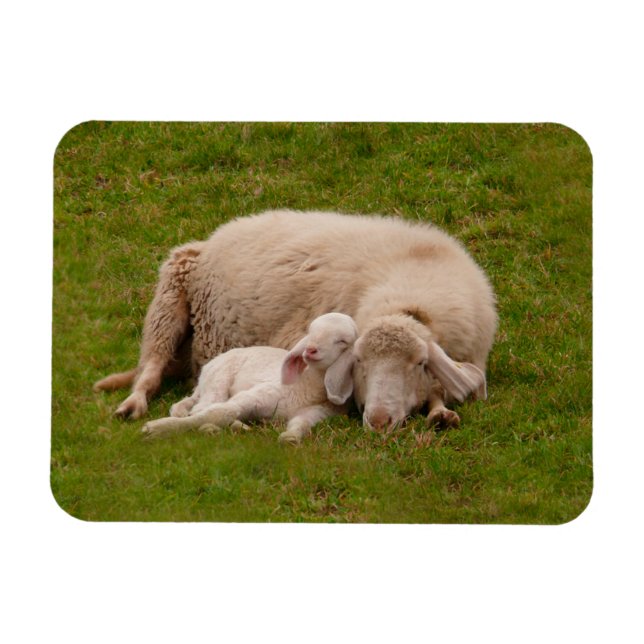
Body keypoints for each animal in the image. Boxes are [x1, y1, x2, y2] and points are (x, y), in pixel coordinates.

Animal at [94, 210, 497, 431]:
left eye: (419, 364)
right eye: (358, 362)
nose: (379, 421)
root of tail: (215, 235)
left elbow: (440, 391)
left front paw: (440, 413)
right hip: (170, 297)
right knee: (151, 367)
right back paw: (133, 404)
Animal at [140, 312, 358, 444]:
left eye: (342, 341)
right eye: (310, 332)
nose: (310, 350)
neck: (308, 385)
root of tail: (206, 370)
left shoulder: (317, 413)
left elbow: (301, 424)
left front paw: (290, 438)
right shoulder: (256, 395)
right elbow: (220, 412)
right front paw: (158, 428)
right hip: (218, 380)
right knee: (203, 407)